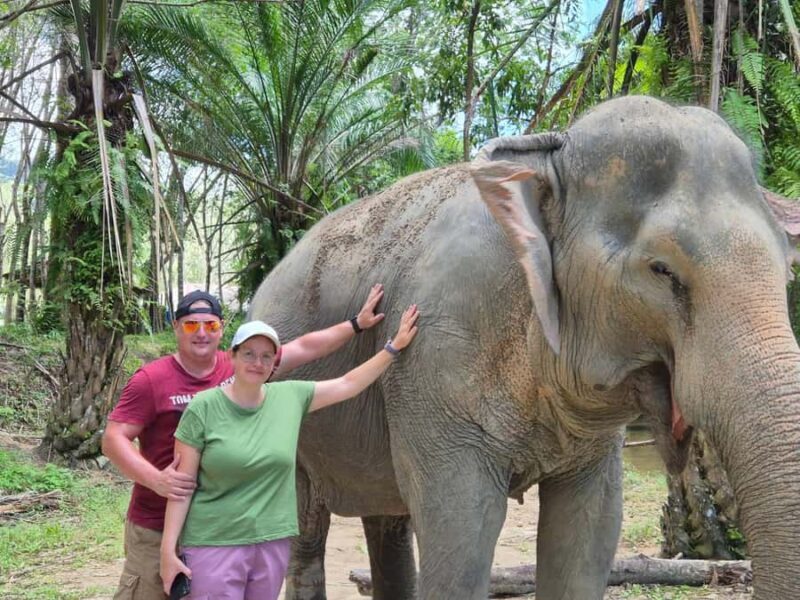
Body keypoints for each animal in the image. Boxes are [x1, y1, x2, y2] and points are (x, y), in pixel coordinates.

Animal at [249, 96, 800, 599]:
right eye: (661, 270)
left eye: (785, 264)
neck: (546, 155)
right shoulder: (437, 359)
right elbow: (462, 537)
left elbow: (589, 532)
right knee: (305, 534)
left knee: (387, 523)